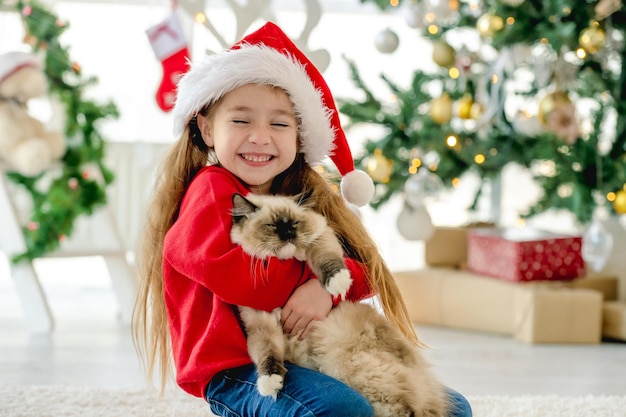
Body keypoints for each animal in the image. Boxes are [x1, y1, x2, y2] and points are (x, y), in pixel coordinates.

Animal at [229, 193, 448, 416]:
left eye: (295, 224)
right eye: (272, 225)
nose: (289, 233)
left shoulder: (321, 234)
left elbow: (325, 257)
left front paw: (338, 282)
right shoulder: (261, 325)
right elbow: (267, 355)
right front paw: (270, 383)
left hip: (355, 372)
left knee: (406, 409)